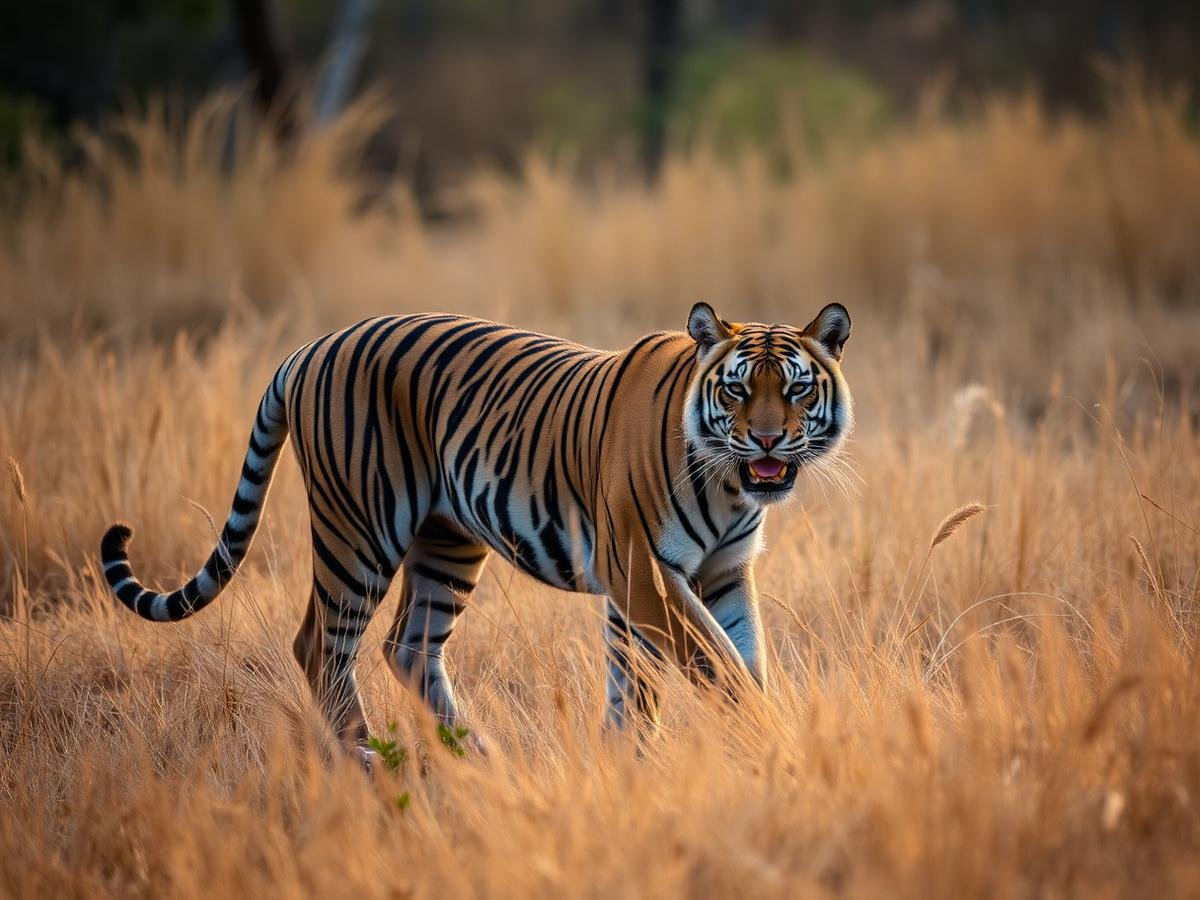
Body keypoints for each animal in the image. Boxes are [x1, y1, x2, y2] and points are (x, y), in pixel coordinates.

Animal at [100, 302, 852, 763]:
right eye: (735, 389)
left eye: (796, 389)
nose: (767, 440)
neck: (729, 486)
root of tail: (311, 347)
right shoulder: (645, 572)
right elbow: (719, 667)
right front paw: (772, 743)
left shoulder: (720, 572)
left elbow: (703, 668)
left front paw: (630, 760)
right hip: (359, 530)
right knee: (321, 644)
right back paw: (366, 757)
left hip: (445, 541)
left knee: (408, 645)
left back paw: (478, 756)